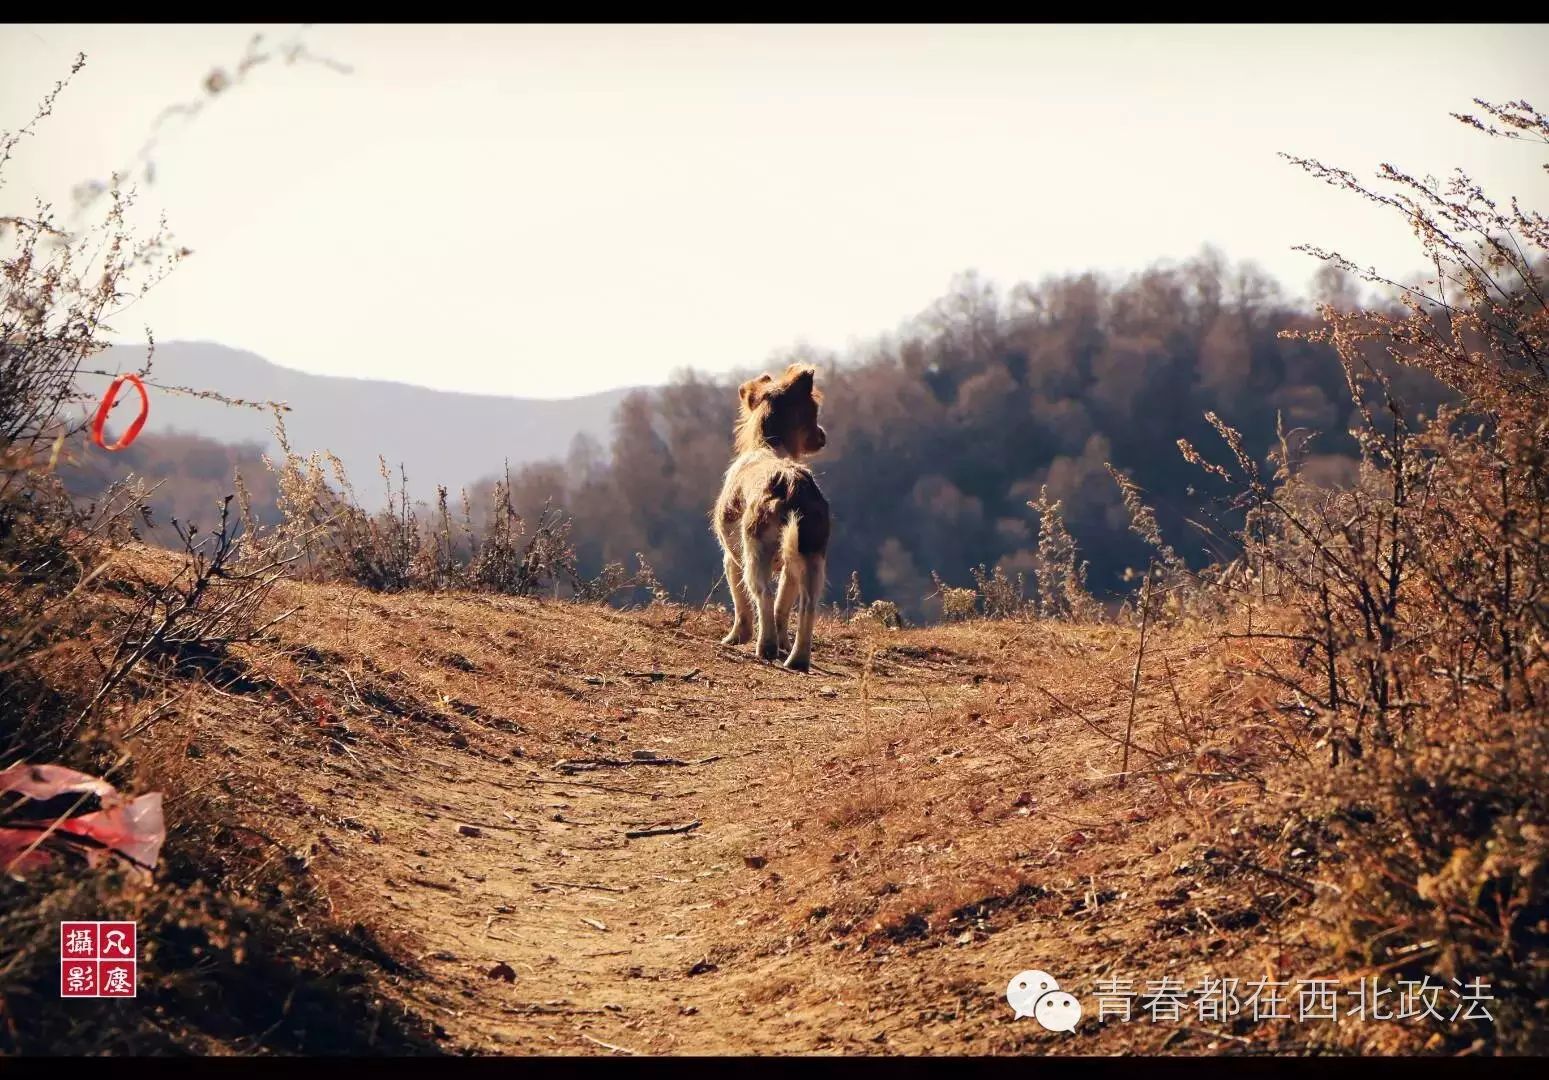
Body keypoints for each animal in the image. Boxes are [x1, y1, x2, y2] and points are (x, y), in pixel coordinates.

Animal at [715, 364, 836, 666]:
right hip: (811, 556)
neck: (768, 445)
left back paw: (766, 647)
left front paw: (736, 637)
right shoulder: (790, 566)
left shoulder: (731, 558)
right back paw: (797, 659)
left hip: (755, 551)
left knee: (763, 595)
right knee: (805, 604)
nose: (823, 435)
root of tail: (791, 485)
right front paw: (784, 644)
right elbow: (783, 606)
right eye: (814, 412)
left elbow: (741, 603)